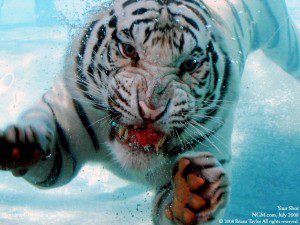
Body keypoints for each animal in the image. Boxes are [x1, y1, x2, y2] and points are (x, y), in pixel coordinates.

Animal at [0, 0, 300, 224]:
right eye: (128, 49)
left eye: (190, 64)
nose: (151, 107)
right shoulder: (66, 120)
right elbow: (46, 148)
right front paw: (22, 143)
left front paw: (194, 194)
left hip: (281, 38)